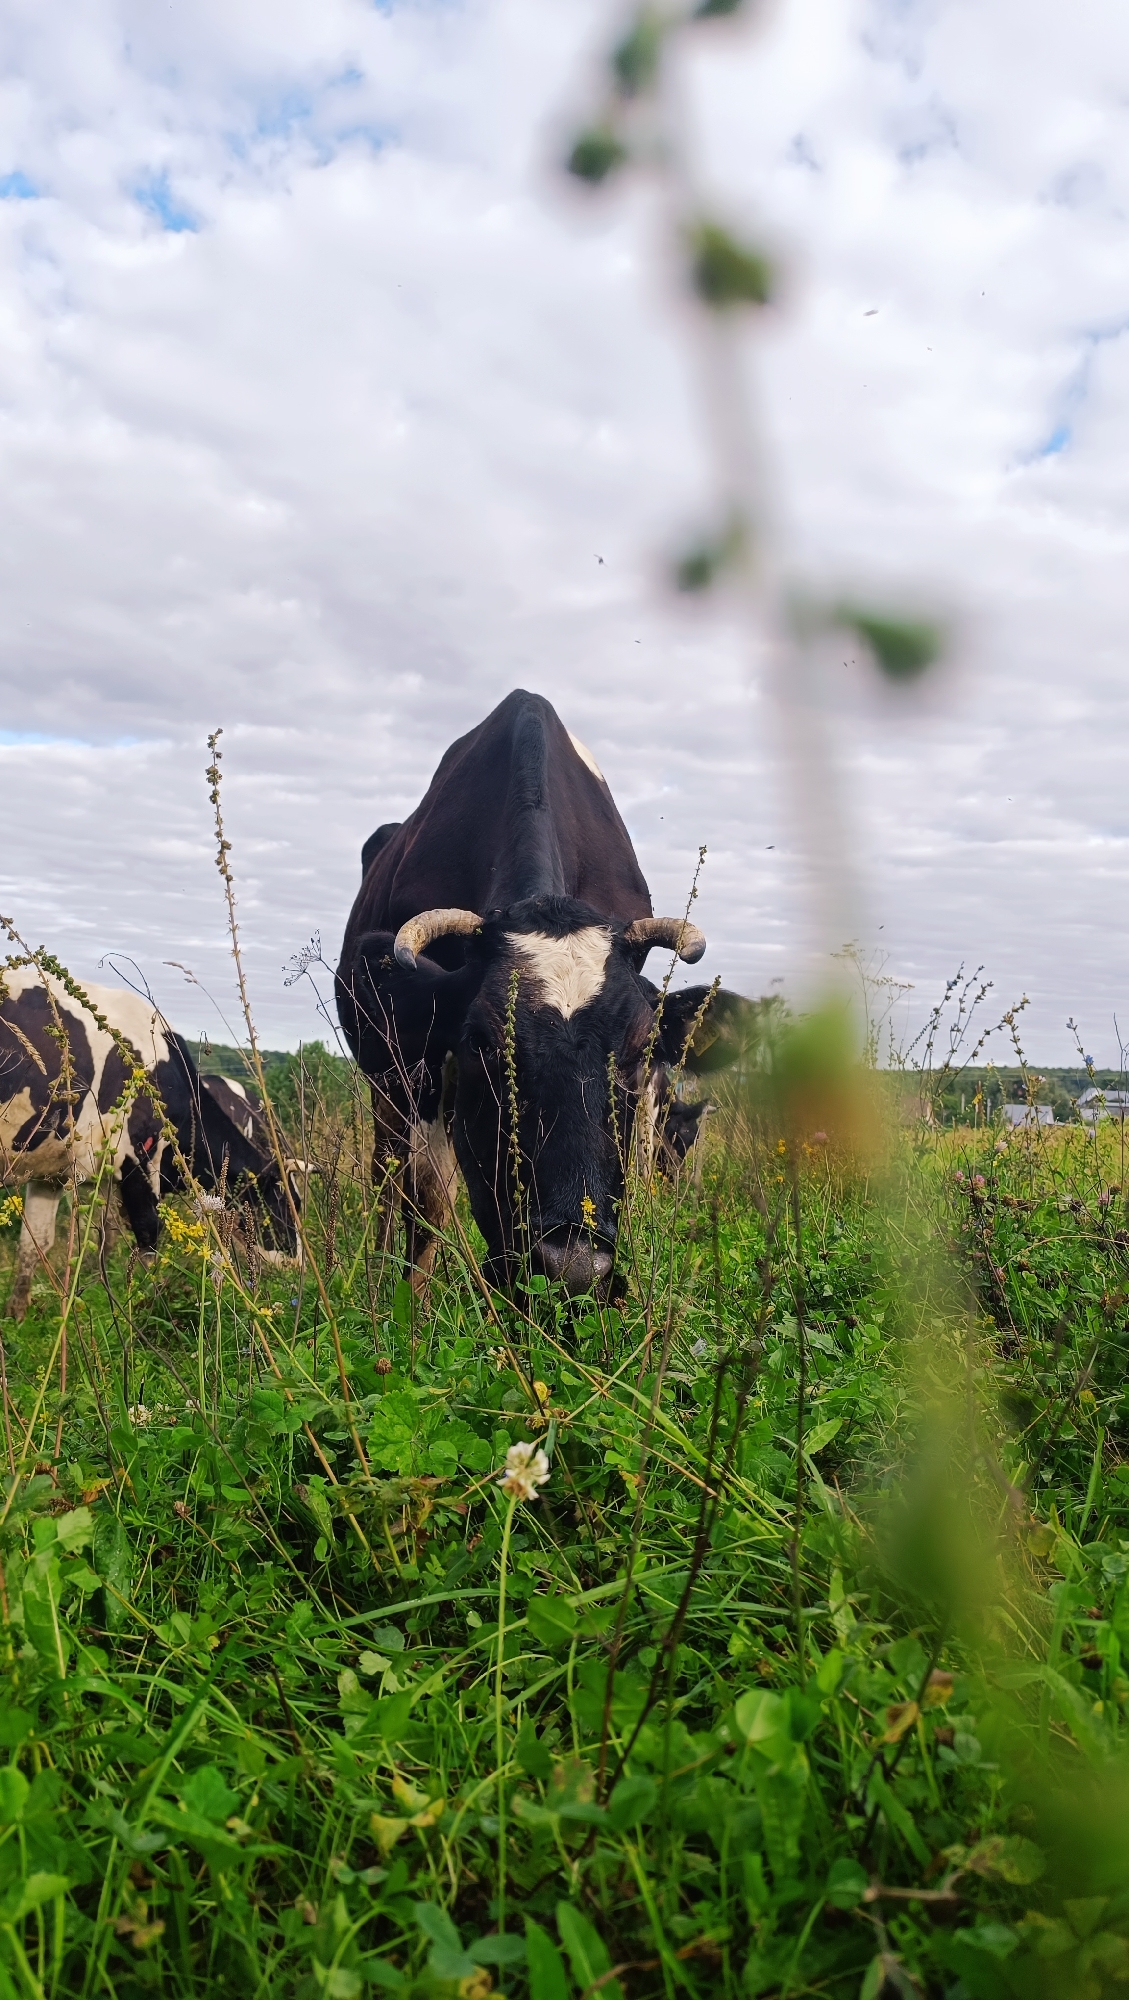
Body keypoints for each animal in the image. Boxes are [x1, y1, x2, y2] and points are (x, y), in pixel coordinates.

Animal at [1, 967, 301, 1319]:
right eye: (286, 1205)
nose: (298, 1264)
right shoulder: (138, 1159)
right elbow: (147, 1241)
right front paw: (148, 1307)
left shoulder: (52, 1172)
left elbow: (35, 1243)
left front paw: (17, 1314)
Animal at [336, 689, 750, 1298]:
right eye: (482, 1044)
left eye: (638, 1050)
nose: (572, 1266)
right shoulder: (424, 1064)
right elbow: (429, 1196)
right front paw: (411, 1306)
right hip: (385, 1076)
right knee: (389, 1176)